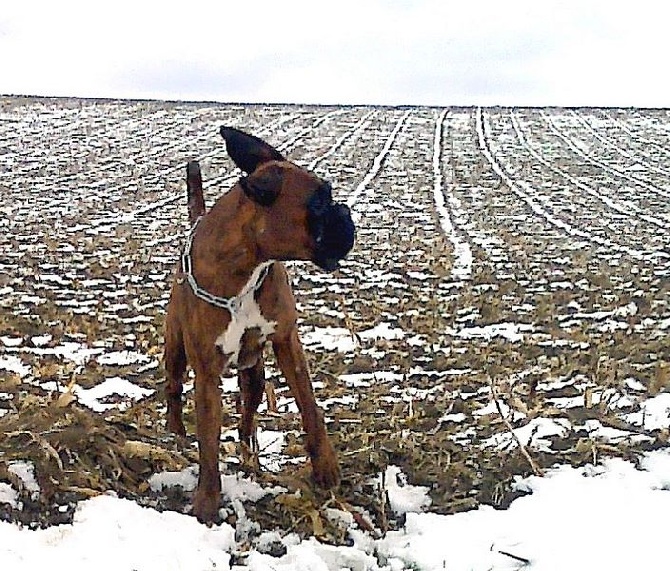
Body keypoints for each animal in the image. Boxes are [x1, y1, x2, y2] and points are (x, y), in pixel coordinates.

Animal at [164, 127, 356, 524]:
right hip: (175, 349)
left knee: (247, 418)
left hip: (254, 374)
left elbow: (310, 407)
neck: (249, 269)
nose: (345, 212)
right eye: (318, 204)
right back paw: (174, 433)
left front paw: (325, 469)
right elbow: (208, 443)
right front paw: (207, 501)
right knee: (172, 389)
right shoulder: (207, 373)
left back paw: (251, 460)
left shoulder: (287, 342)